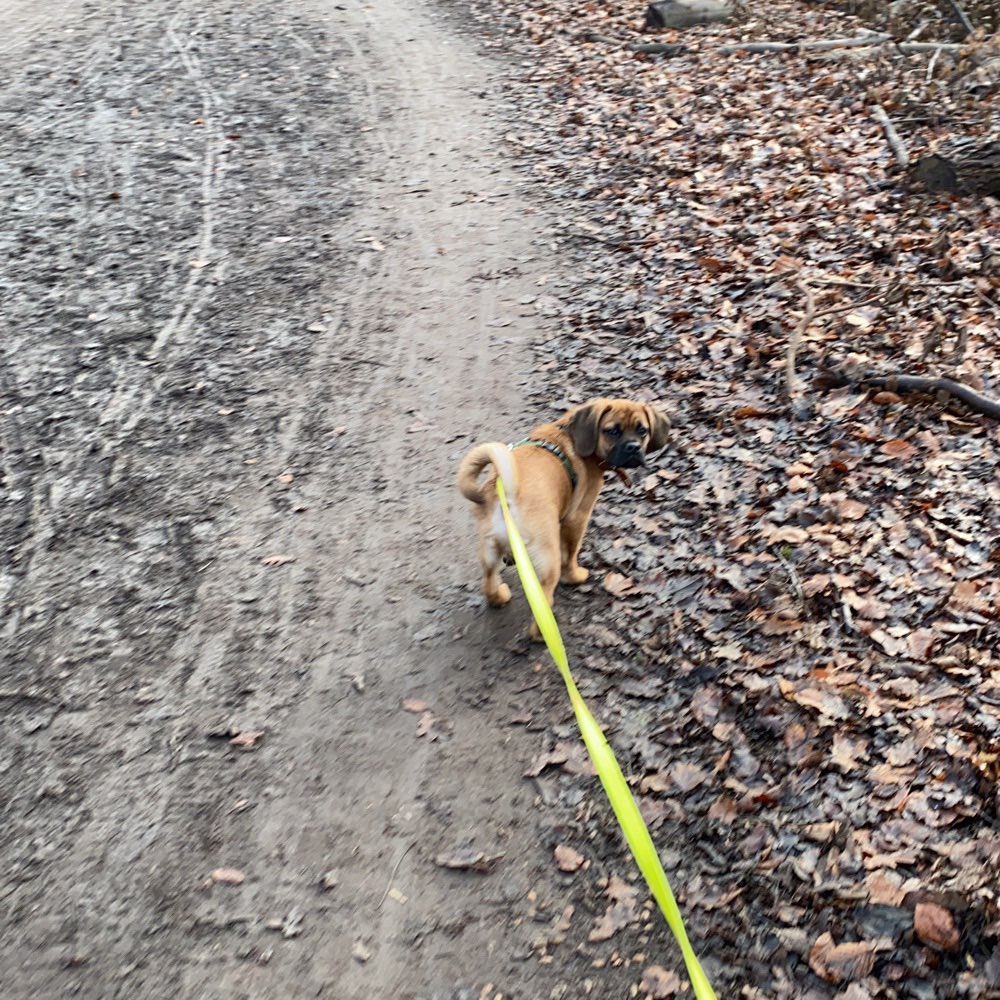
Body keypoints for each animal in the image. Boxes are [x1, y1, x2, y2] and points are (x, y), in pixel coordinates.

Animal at [458, 398, 668, 632]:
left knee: (488, 583)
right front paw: (575, 575)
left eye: (642, 430)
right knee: (544, 603)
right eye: (612, 431)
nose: (633, 448)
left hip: (489, 552)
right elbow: (571, 554)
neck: (571, 433)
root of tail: (508, 497)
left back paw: (499, 596)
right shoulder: (578, 518)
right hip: (548, 561)